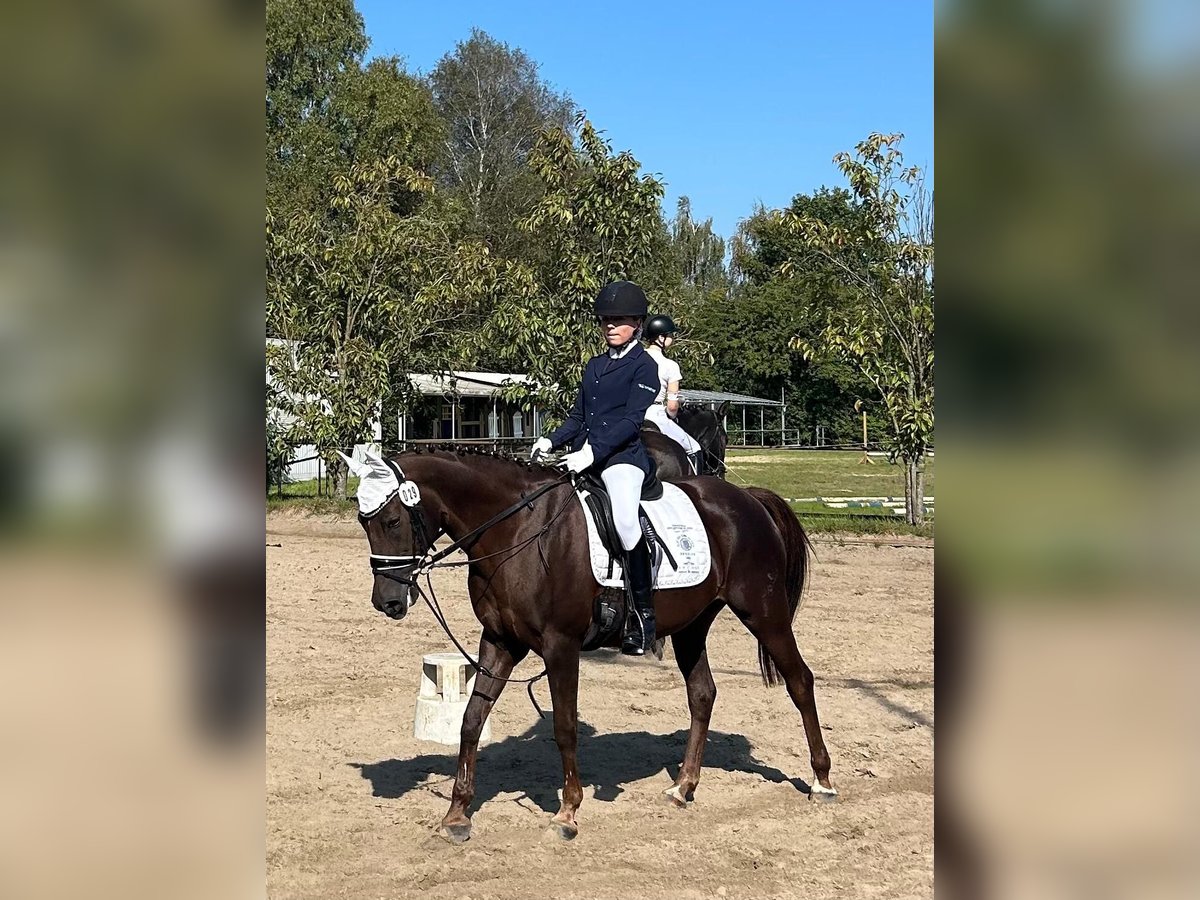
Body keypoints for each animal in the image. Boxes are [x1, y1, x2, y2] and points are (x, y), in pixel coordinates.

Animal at [348, 448, 835, 844]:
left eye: (392, 520)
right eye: (362, 521)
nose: (387, 602)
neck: (516, 529)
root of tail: (747, 498)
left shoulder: (559, 647)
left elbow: (565, 728)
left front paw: (567, 814)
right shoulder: (500, 642)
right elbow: (470, 721)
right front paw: (457, 815)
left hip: (764, 613)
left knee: (800, 681)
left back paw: (822, 781)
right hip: (692, 627)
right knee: (702, 694)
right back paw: (683, 787)